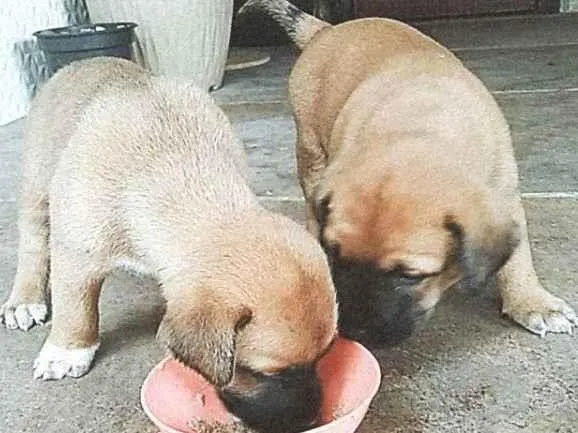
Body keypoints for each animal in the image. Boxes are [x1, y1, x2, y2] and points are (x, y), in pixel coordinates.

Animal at [1, 57, 338, 432]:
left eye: (324, 357)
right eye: (266, 374)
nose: (311, 417)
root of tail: (83, 61)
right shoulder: (79, 250)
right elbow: (76, 307)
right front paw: (67, 350)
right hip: (36, 181)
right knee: (33, 241)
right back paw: (24, 299)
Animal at [237, 0, 572, 344]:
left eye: (410, 275)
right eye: (335, 255)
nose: (356, 331)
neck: (419, 128)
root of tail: (327, 30)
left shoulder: (504, 190)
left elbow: (518, 258)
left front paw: (533, 301)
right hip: (310, 146)